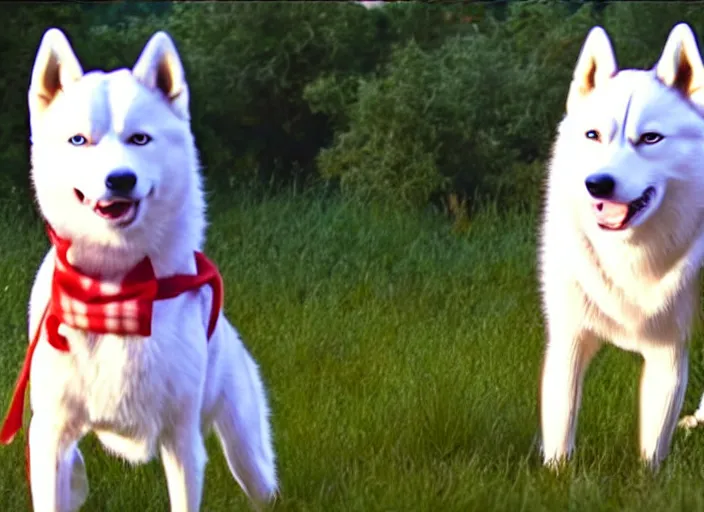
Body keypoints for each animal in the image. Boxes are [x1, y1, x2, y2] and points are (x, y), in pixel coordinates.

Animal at [2, 29, 278, 512]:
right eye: (79, 140)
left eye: (140, 139)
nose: (120, 179)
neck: (117, 292)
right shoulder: (50, 436)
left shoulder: (182, 443)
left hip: (250, 458)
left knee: (261, 484)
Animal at [540, 23, 704, 472]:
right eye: (593, 135)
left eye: (650, 138)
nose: (598, 184)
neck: (631, 255)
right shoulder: (568, 339)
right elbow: (560, 430)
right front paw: (558, 477)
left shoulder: (669, 352)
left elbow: (651, 453)